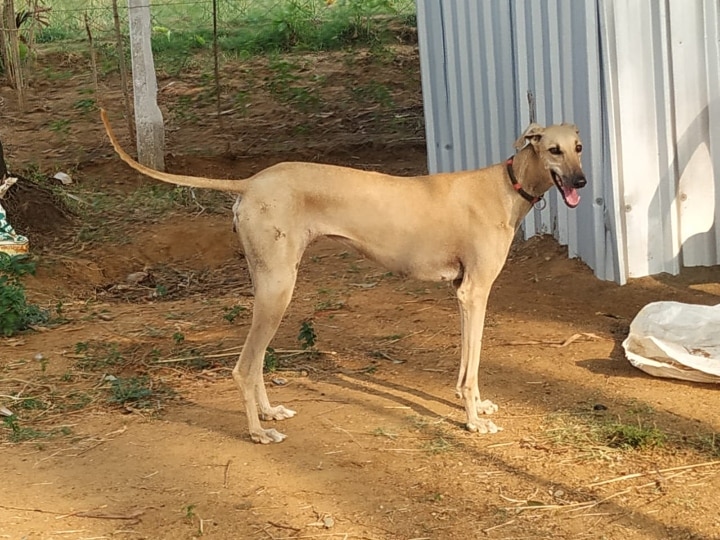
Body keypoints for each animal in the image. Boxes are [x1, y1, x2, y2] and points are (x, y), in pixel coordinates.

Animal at [98, 109, 588, 442]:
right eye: (552, 149)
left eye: (579, 148)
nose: (581, 183)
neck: (505, 185)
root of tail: (250, 183)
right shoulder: (473, 293)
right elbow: (472, 366)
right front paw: (472, 420)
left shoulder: (462, 292)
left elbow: (469, 365)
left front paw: (478, 406)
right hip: (279, 290)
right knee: (243, 366)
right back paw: (258, 432)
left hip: (269, 285)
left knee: (256, 361)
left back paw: (270, 414)